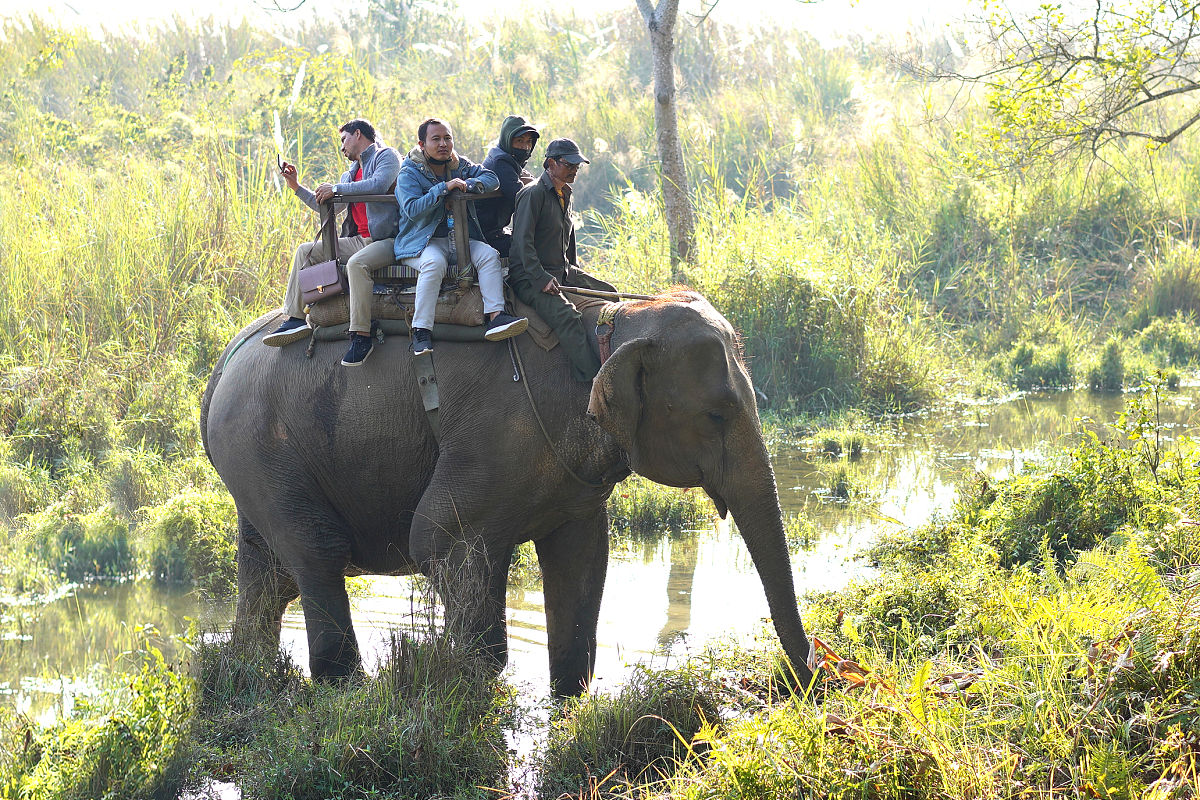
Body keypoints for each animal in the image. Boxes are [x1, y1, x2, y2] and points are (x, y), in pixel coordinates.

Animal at [200, 290, 816, 696]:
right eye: (716, 415)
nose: (805, 681)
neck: (608, 326)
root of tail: (219, 370)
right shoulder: (498, 436)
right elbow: (440, 539)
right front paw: (471, 682)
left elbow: (581, 559)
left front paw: (568, 698)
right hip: (262, 447)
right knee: (317, 554)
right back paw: (340, 685)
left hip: (257, 463)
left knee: (267, 573)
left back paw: (249, 671)